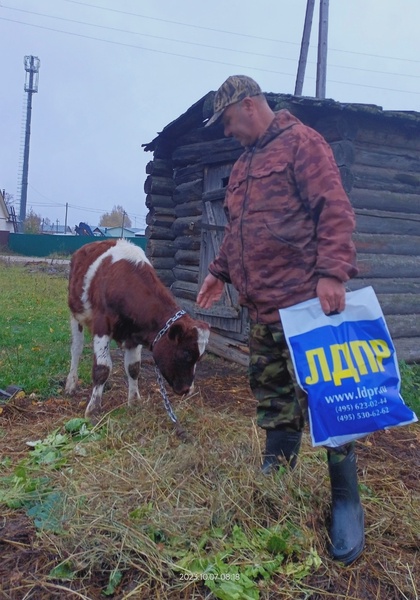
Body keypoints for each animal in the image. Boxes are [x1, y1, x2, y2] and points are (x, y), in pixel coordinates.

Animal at [65, 237, 209, 420]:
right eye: (186, 353)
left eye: (200, 358)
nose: (187, 389)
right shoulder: (102, 325)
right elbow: (102, 367)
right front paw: (93, 409)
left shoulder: (135, 334)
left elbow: (133, 367)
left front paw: (134, 402)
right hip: (75, 314)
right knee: (76, 349)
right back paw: (71, 384)